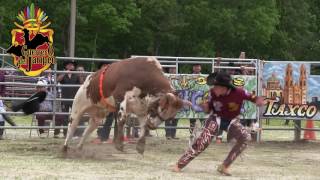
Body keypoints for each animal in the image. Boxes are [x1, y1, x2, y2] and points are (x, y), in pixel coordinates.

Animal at [62, 57, 190, 154]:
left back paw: (79, 147)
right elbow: (122, 120)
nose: (153, 126)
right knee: (72, 127)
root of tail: (88, 80)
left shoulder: (142, 108)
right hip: (77, 108)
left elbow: (143, 126)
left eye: (171, 116)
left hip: (98, 116)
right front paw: (119, 145)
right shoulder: (120, 97)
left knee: (88, 130)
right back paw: (64, 148)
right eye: (162, 108)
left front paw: (140, 146)